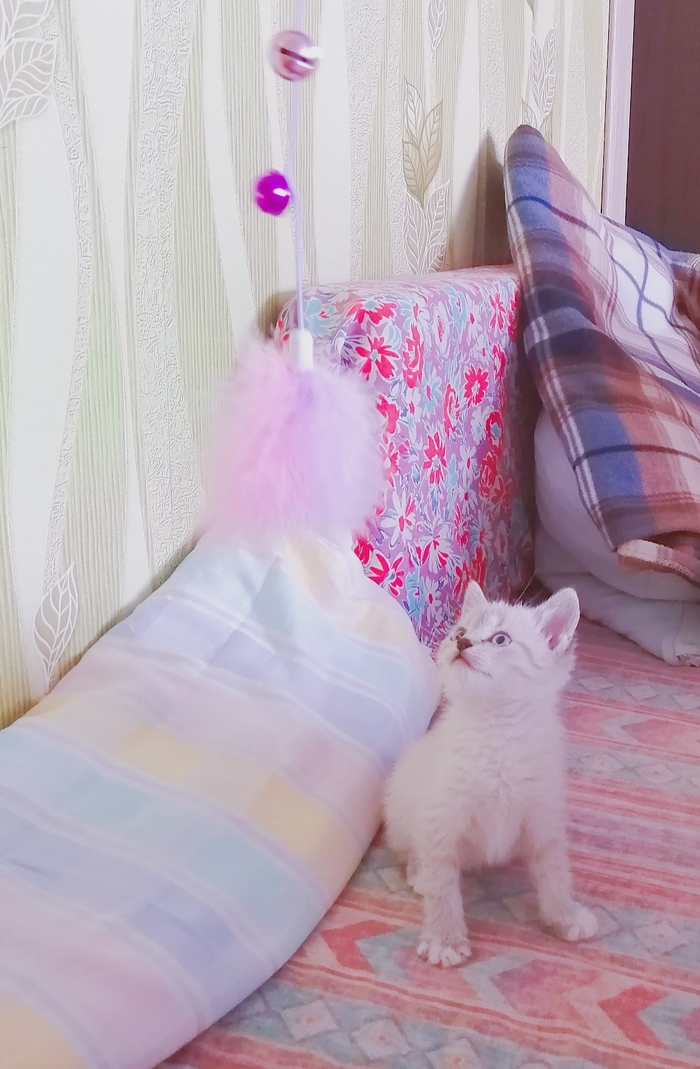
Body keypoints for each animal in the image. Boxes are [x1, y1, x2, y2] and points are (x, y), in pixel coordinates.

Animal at [383, 580, 598, 967]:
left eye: (500, 639)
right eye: (460, 632)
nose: (461, 643)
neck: (496, 730)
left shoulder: (543, 816)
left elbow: (555, 872)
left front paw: (564, 916)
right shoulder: (440, 820)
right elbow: (442, 886)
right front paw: (445, 939)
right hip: (403, 810)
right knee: (411, 854)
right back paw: (418, 875)